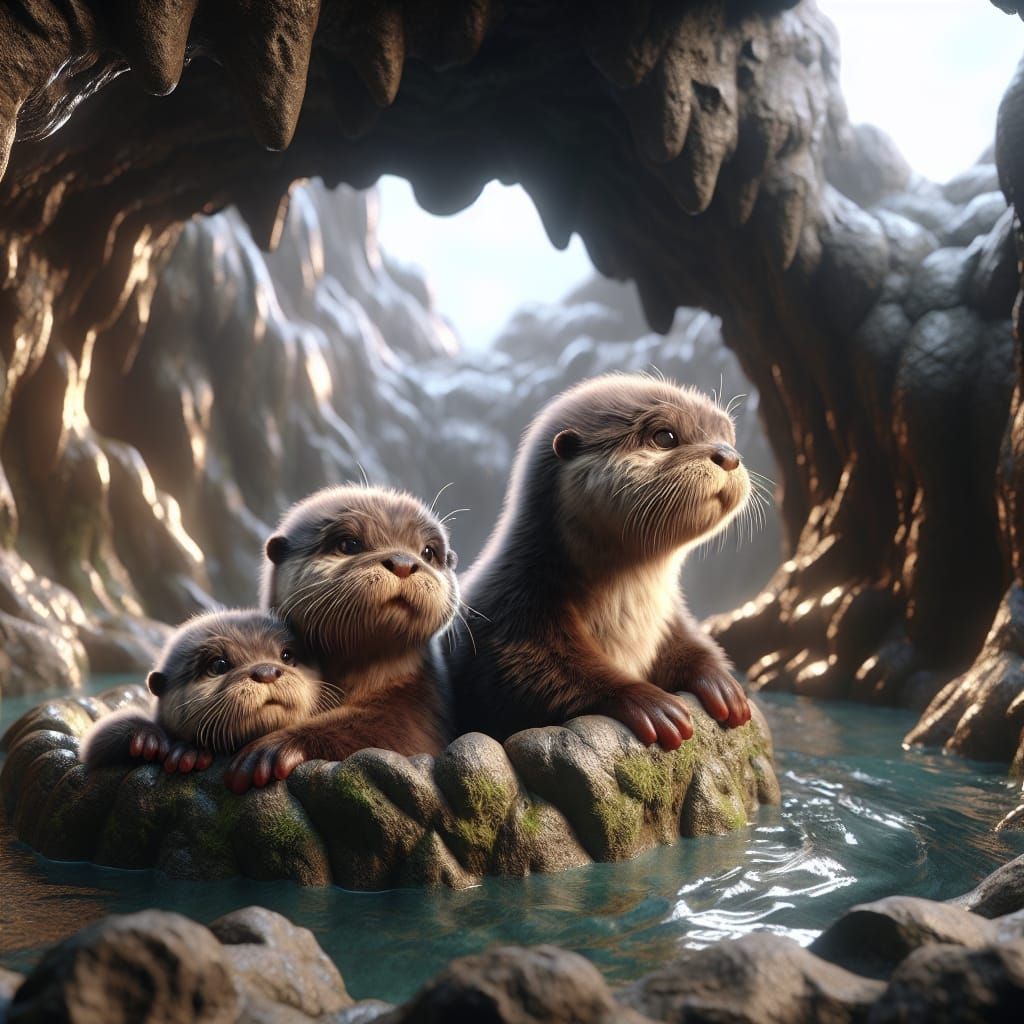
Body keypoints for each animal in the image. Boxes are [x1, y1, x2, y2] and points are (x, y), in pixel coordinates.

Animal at [223, 485, 459, 793]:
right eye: (349, 544)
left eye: (428, 552)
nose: (404, 562)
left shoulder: (419, 710)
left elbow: (383, 729)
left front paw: (272, 748)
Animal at [450, 374, 753, 750]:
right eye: (665, 436)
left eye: (727, 436)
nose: (729, 455)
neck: (627, 613)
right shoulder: (512, 616)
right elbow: (542, 676)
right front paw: (651, 704)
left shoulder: (669, 618)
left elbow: (688, 644)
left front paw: (721, 683)